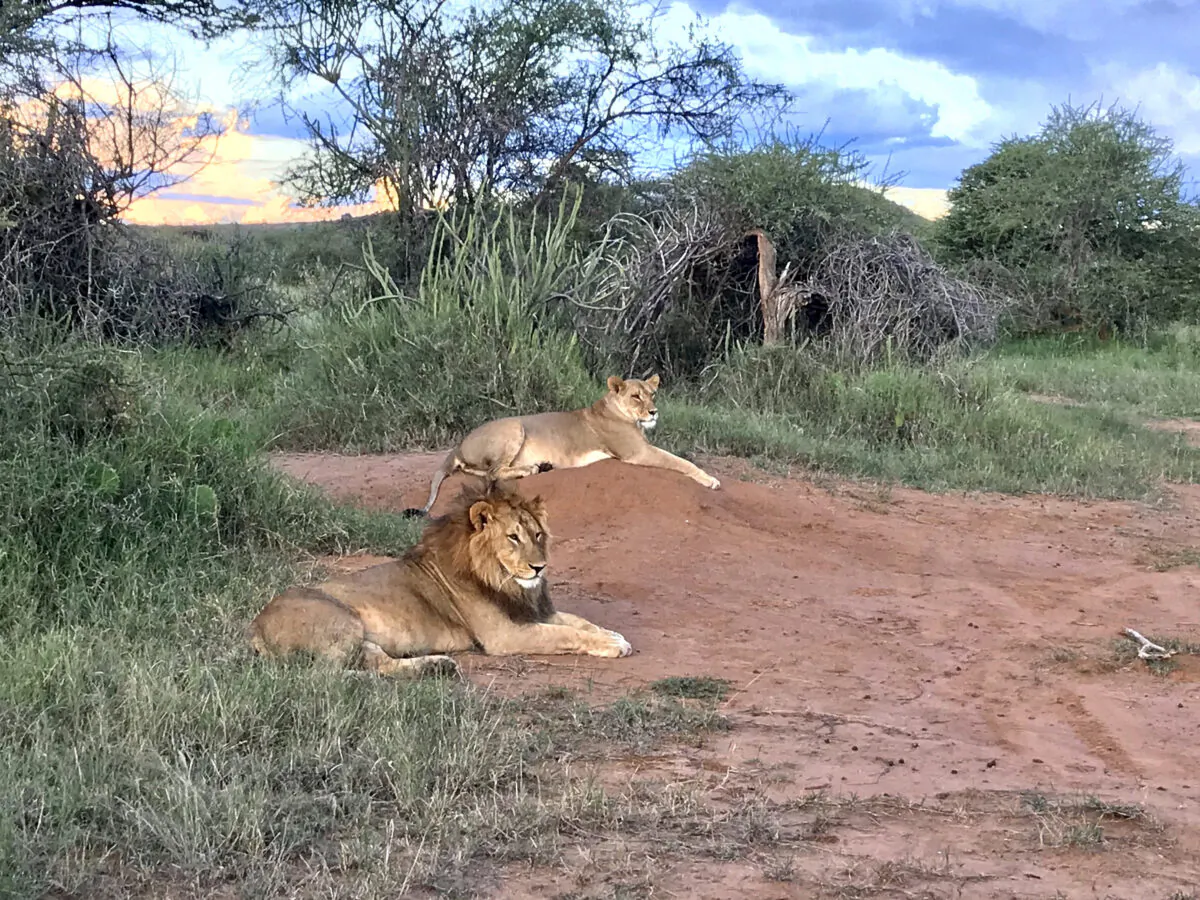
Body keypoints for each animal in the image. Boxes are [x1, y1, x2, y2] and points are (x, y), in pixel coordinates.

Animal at [248, 480, 632, 677]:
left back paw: (438, 666)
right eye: (512, 537)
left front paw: (613, 634)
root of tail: (255, 626)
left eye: (538, 535)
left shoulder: (534, 612)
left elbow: (579, 621)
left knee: (381, 664)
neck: (507, 582)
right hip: (344, 622)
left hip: (360, 637)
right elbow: (565, 633)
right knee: (327, 675)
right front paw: (612, 645)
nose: (539, 568)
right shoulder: (505, 634)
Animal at [404, 374, 720, 517]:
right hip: (514, 427)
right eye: (635, 396)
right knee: (493, 473)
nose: (654, 412)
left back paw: (541, 466)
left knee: (485, 472)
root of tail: (458, 446)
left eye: (652, 394)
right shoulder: (636, 452)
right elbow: (680, 461)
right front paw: (710, 480)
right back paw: (533, 469)